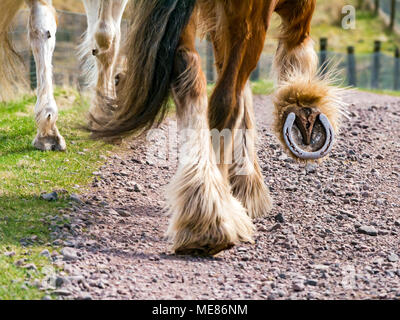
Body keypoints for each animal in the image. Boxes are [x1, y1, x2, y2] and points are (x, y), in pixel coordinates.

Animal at [93, 0, 344, 255]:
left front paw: (244, 184)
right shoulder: (297, 13)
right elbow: (295, 55)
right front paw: (302, 105)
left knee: (190, 73)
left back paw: (201, 212)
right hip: (250, 23)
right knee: (227, 100)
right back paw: (212, 218)